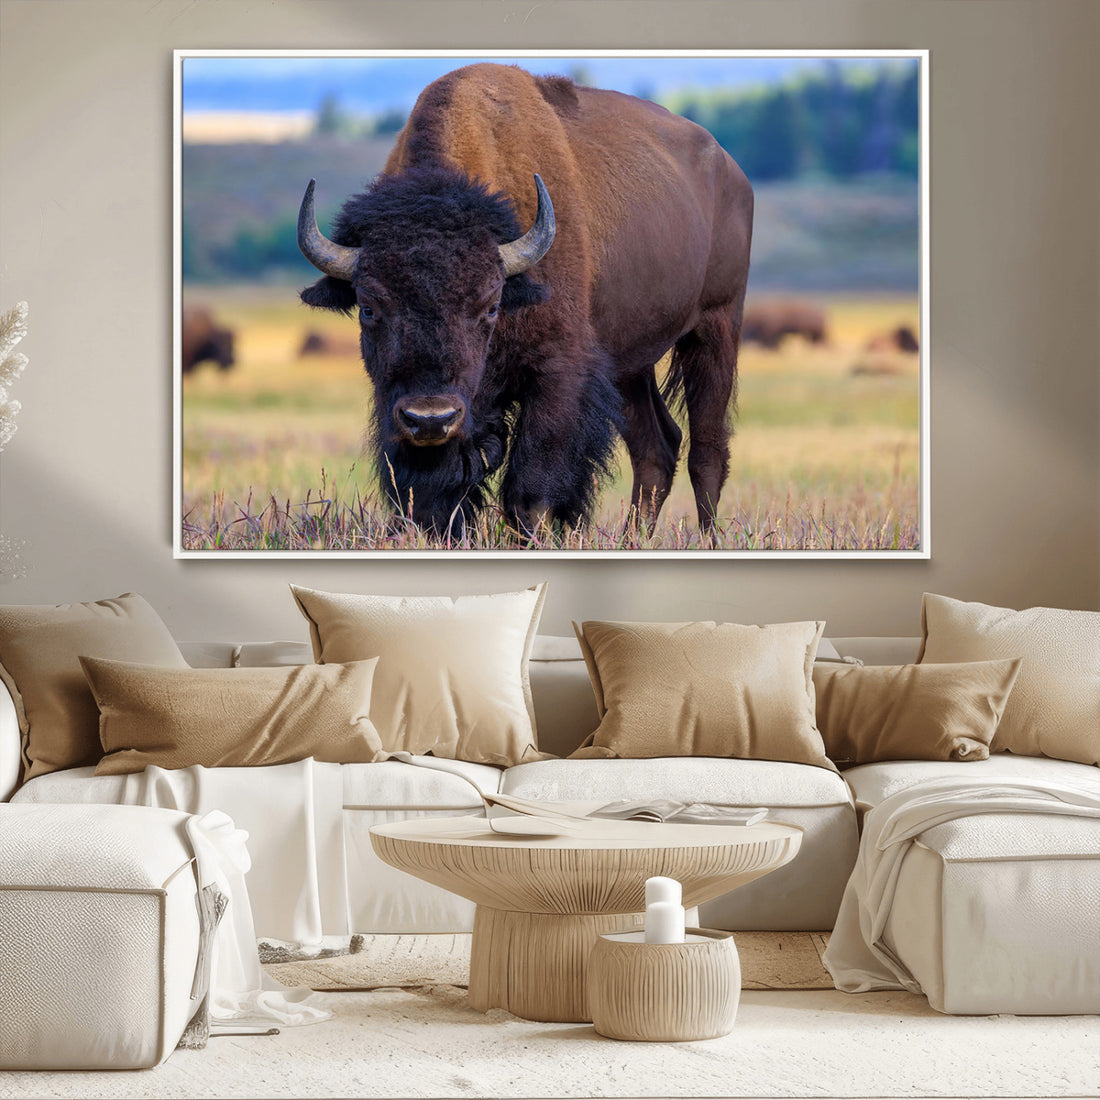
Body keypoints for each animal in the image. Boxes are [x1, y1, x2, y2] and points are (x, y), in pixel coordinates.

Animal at [298, 63, 753, 537]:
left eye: (490, 305)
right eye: (369, 307)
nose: (431, 417)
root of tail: (730, 171)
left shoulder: (556, 375)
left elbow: (530, 491)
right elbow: (432, 496)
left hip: (715, 329)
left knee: (707, 453)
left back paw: (707, 539)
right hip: (631, 364)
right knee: (656, 448)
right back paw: (634, 538)